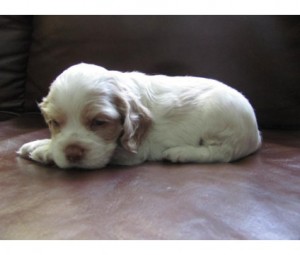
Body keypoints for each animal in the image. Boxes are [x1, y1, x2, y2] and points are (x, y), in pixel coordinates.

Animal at [17, 62, 260, 168]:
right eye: (54, 122)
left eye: (99, 122)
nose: (73, 154)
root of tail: (256, 134)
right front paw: (40, 144)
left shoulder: (134, 152)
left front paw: (44, 151)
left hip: (219, 117)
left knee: (221, 153)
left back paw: (179, 153)